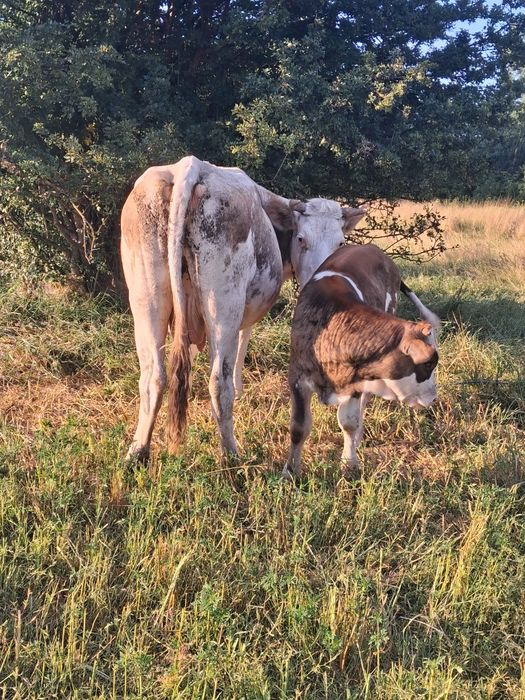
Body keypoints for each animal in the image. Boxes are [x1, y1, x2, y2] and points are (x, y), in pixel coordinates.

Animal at [120, 156, 366, 461]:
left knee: (154, 376)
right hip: (223, 303)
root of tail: (190, 165)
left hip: (147, 298)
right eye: (301, 239)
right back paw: (231, 454)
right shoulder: (243, 314)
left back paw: (137, 451)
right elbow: (241, 343)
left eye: (340, 242)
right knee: (218, 382)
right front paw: (239, 389)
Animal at [282, 243, 440, 480]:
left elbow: (349, 422)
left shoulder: (356, 380)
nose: (433, 397)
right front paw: (290, 471)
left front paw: (349, 463)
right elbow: (298, 427)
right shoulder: (297, 378)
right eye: (429, 363)